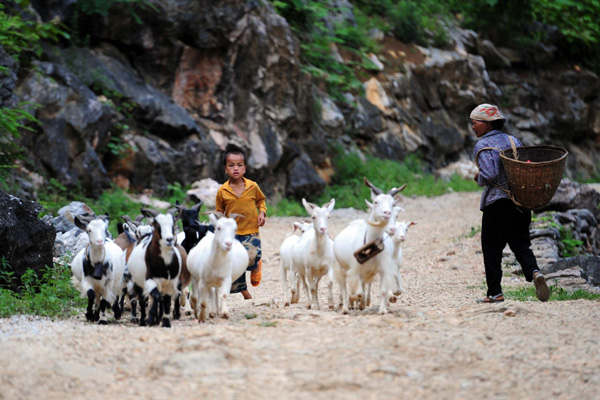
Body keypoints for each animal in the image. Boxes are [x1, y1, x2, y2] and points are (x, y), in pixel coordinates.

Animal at [330, 177, 406, 314]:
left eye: (393, 204)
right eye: (376, 202)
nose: (387, 213)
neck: (371, 248)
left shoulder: (383, 269)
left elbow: (382, 290)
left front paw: (382, 310)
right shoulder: (356, 269)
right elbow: (357, 292)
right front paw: (354, 300)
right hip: (340, 267)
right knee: (343, 288)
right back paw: (345, 308)